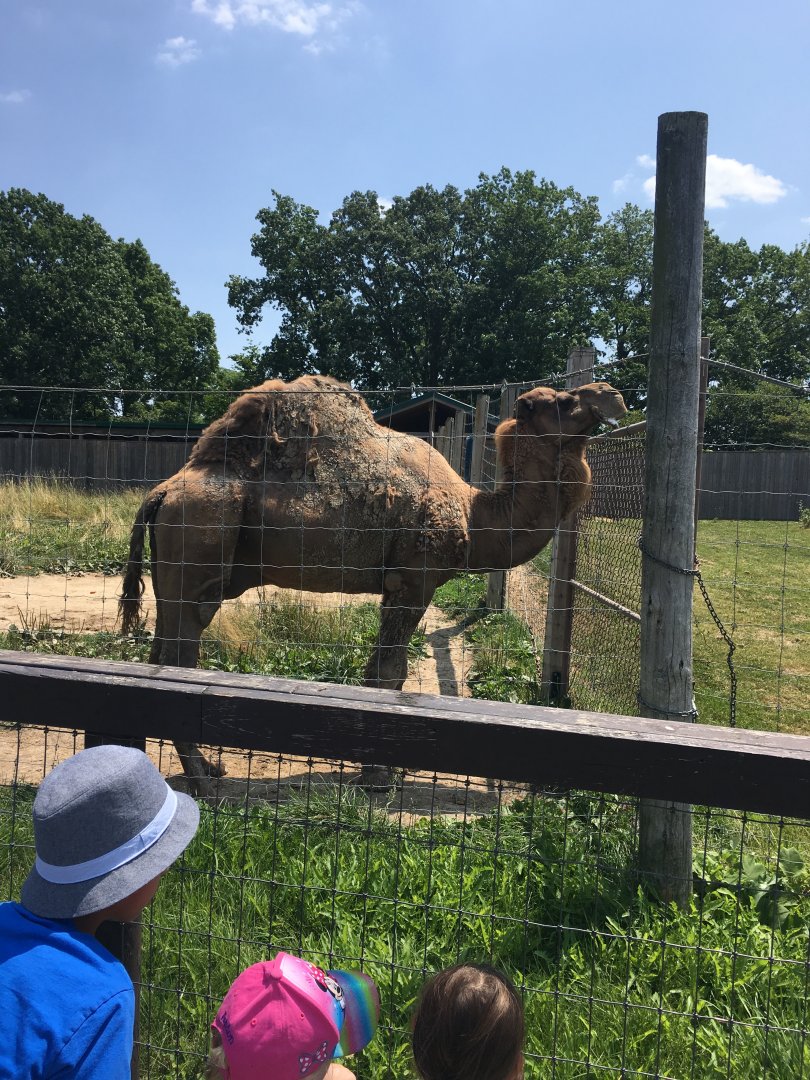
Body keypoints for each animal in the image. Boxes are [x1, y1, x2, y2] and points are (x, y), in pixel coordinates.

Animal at [119, 374, 626, 792]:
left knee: (159, 651)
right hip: (202, 548)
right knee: (181, 655)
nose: (612, 393)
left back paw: (194, 765)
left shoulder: (398, 584)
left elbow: (382, 672)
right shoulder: (413, 580)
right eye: (563, 400)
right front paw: (380, 776)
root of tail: (162, 491)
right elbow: (389, 673)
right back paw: (203, 777)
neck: (474, 513)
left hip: (176, 574)